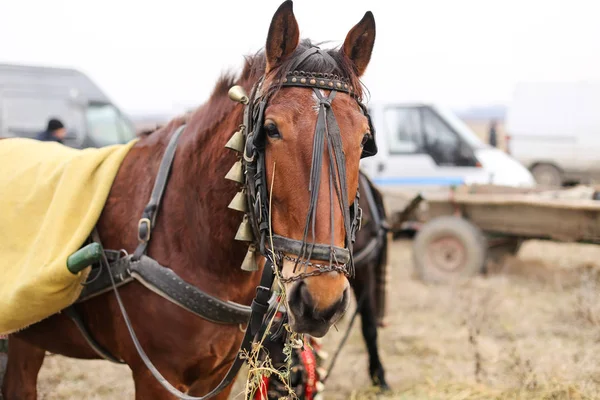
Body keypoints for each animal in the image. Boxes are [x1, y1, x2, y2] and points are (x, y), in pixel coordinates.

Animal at [0, 1, 376, 398]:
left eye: (364, 140)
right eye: (271, 129)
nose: (322, 299)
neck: (189, 228)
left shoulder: (218, 377)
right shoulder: (156, 377)